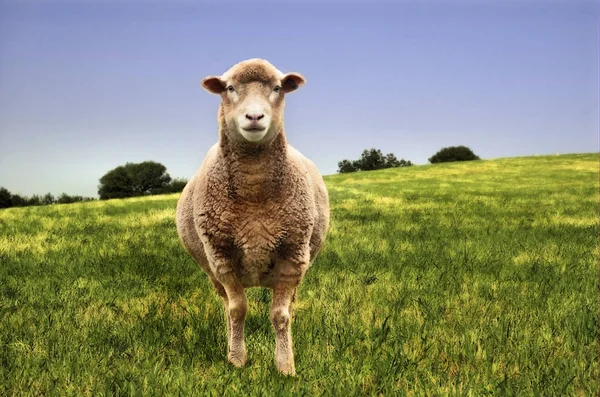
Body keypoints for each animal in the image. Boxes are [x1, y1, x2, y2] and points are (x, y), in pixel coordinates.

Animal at [176, 58, 330, 374]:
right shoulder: (221, 257)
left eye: (277, 88)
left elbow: (281, 315)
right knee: (226, 306)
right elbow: (237, 310)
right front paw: (237, 359)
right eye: (230, 88)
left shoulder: (293, 256)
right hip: (212, 272)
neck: (254, 192)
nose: (255, 116)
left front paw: (285, 366)